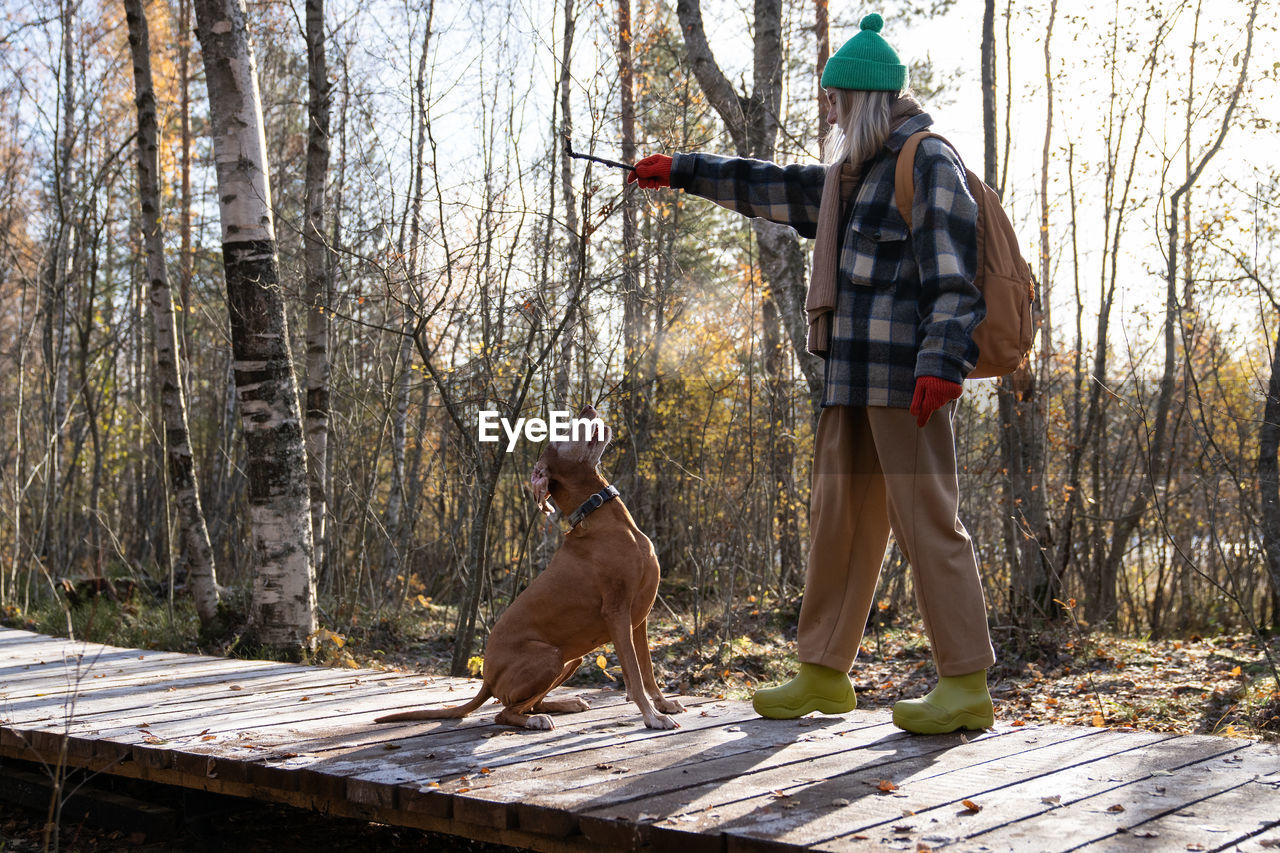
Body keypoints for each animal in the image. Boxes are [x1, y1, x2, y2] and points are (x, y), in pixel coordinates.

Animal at [373, 407, 686, 732]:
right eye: (562, 432)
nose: (588, 408)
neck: (603, 516)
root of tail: (486, 679)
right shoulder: (617, 613)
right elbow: (634, 676)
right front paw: (652, 716)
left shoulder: (639, 619)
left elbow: (648, 672)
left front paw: (663, 704)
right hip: (550, 655)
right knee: (505, 711)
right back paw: (536, 720)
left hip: (572, 659)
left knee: (528, 703)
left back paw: (565, 704)